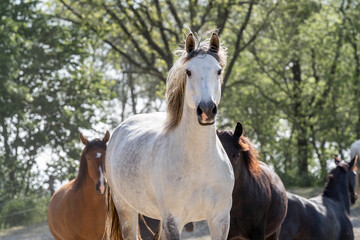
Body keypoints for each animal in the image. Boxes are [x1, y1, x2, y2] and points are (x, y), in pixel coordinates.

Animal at [105, 32, 235, 240]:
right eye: (188, 72)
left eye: (218, 71)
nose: (206, 110)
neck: (200, 165)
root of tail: (119, 131)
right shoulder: (173, 221)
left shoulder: (220, 220)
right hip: (126, 209)